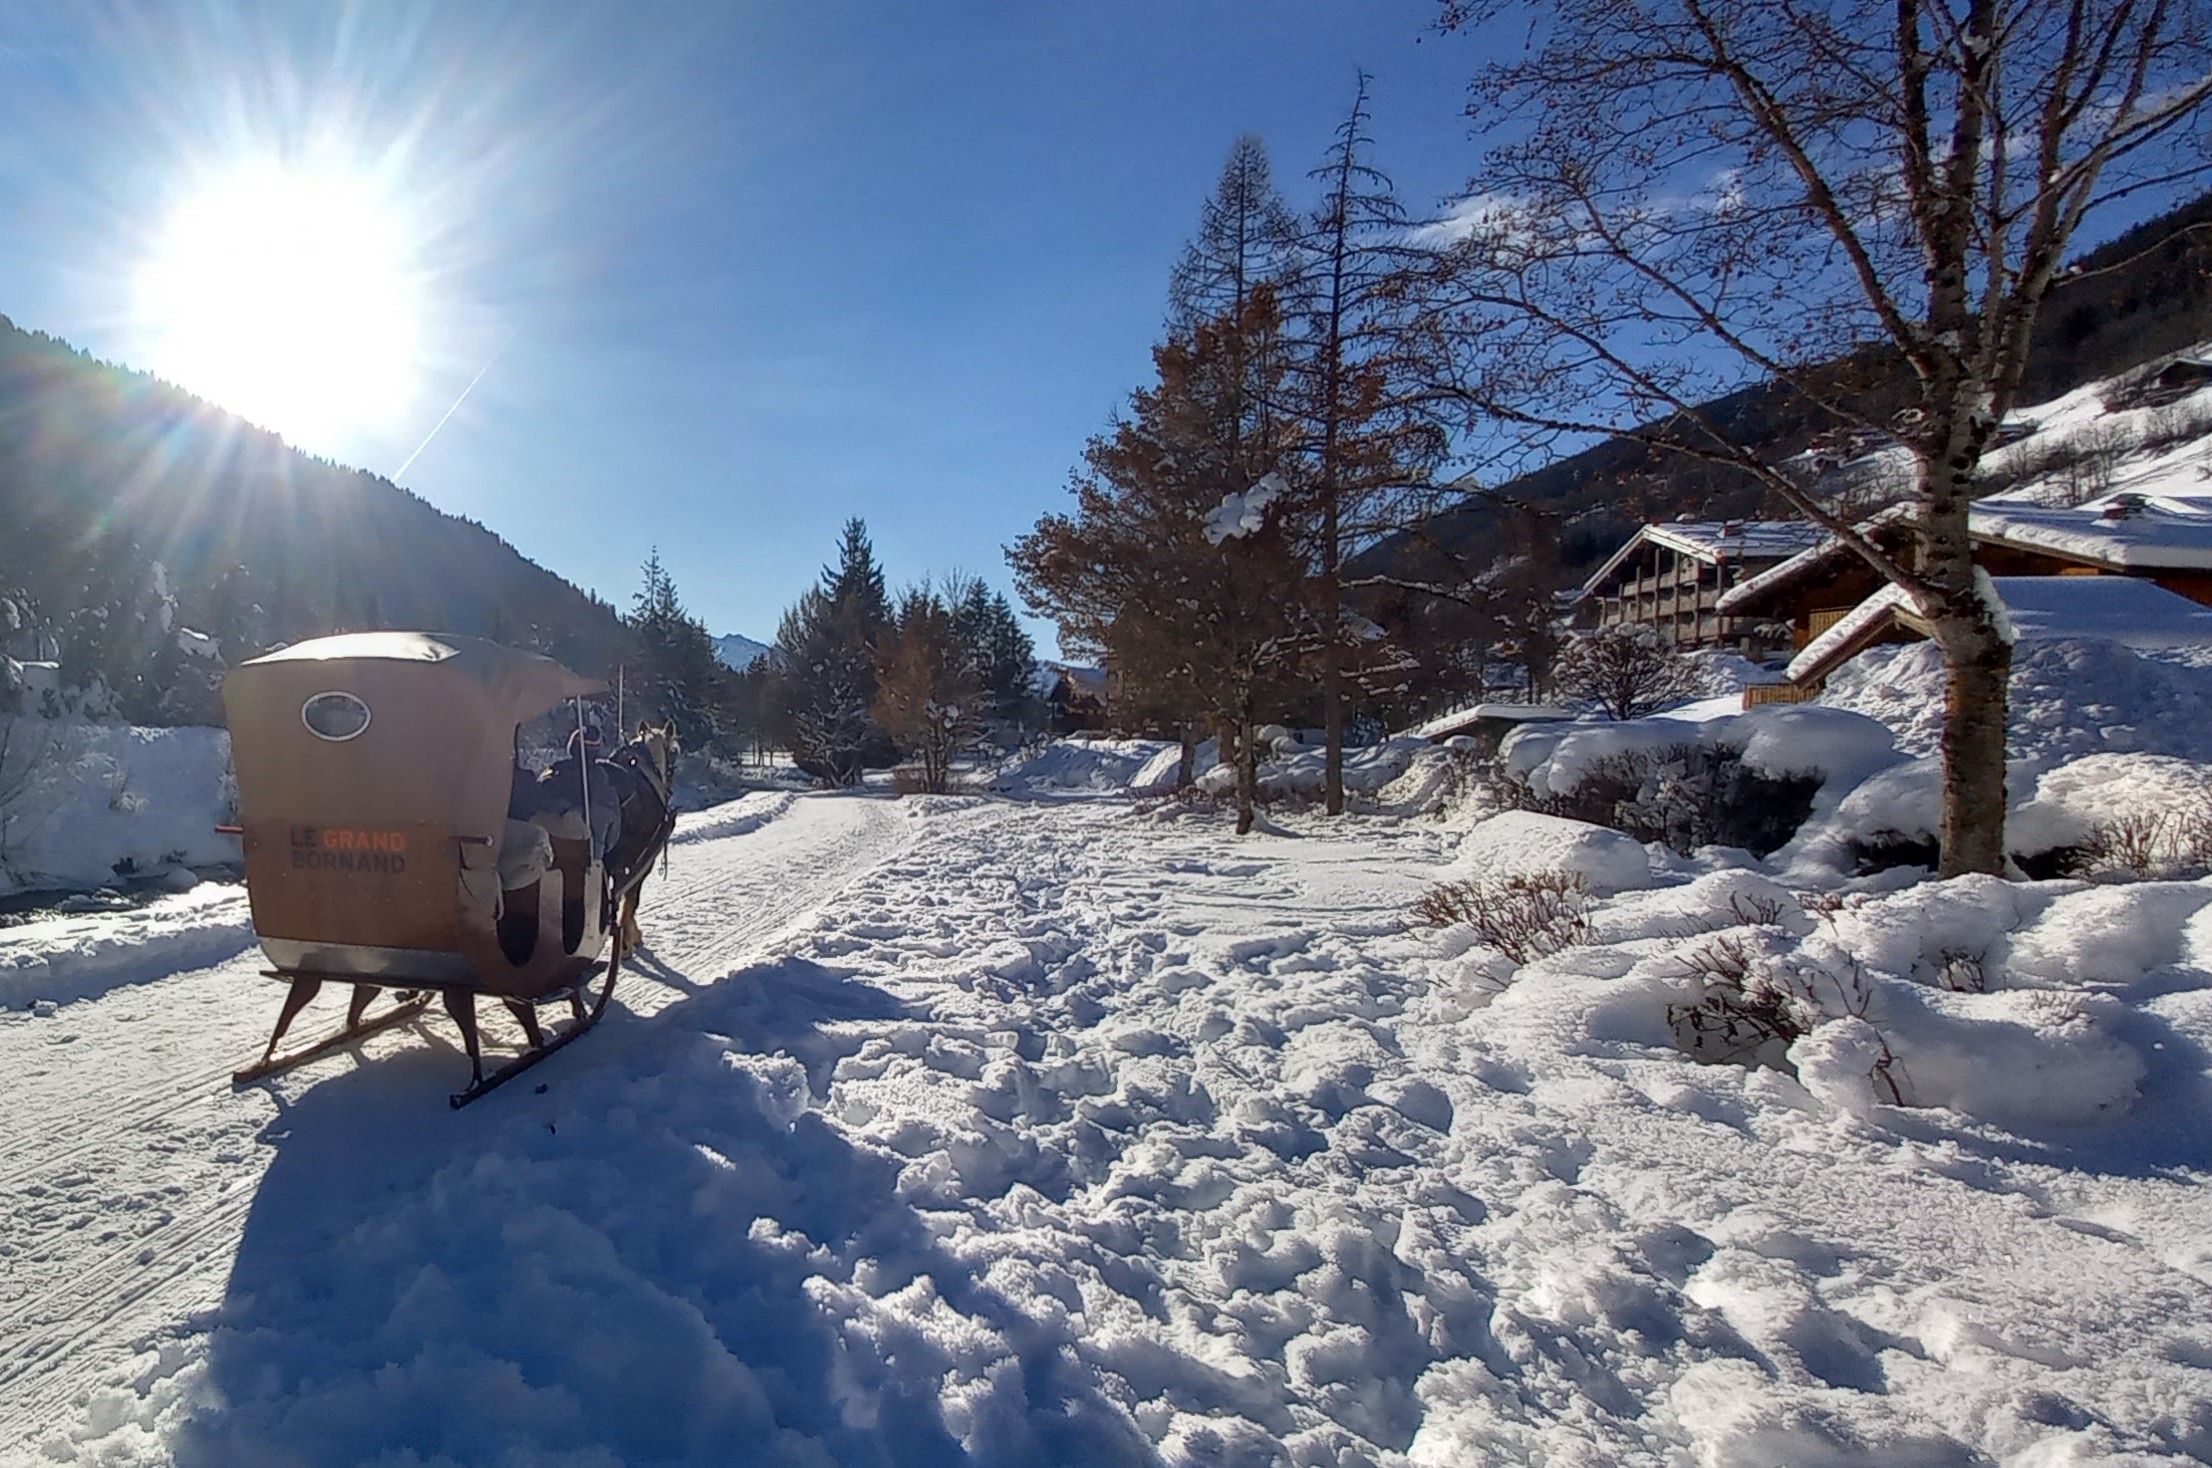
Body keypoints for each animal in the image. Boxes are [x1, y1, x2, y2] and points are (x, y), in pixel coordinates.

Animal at [602, 720, 680, 953]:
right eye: (674, 752)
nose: (669, 788)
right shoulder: (643, 861)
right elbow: (631, 899)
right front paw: (627, 941)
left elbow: (624, 898)